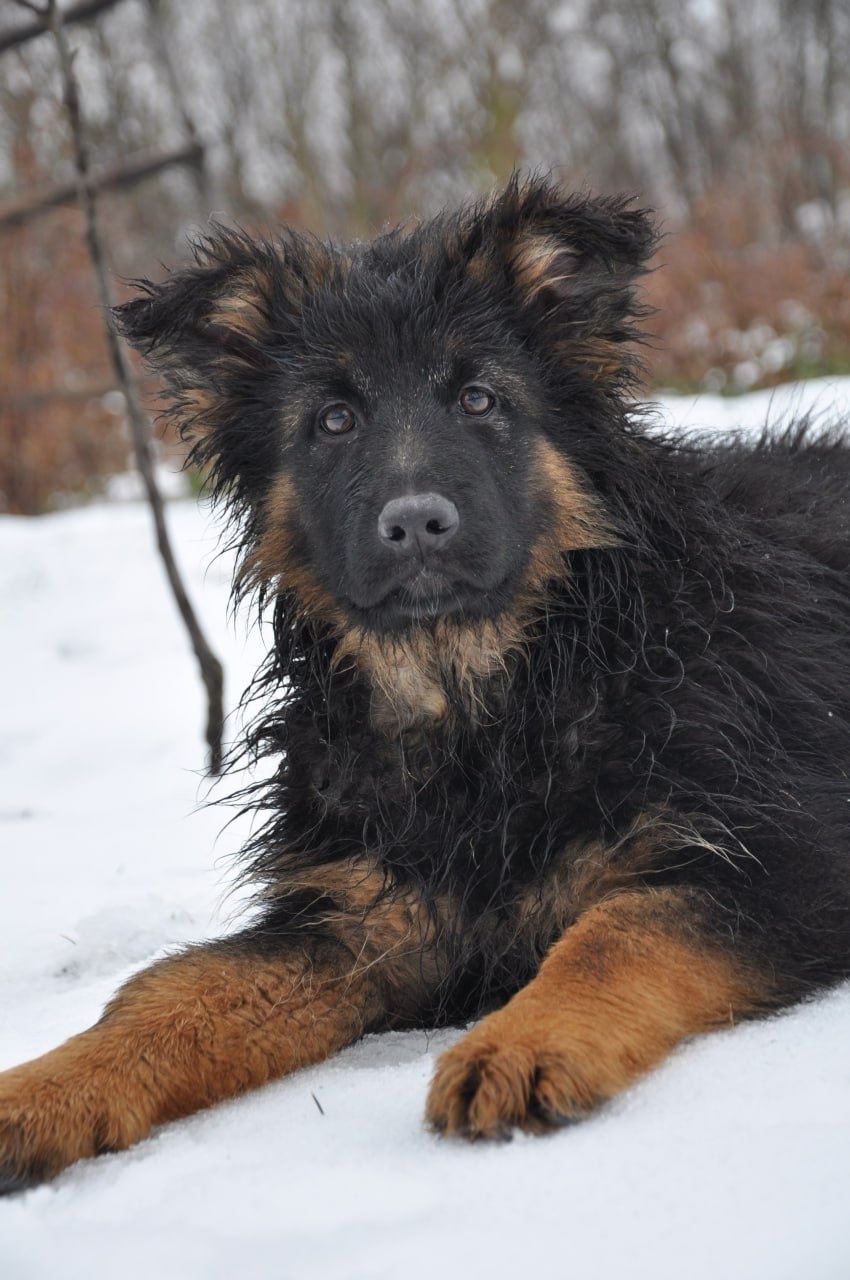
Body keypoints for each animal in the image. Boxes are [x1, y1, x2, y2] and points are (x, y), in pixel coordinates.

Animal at [1, 177, 850, 1187]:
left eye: (480, 398)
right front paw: (43, 1091)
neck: (492, 692)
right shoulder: (357, 918)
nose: (415, 525)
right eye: (333, 421)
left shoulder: (787, 852)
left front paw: (520, 1045)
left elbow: (620, 929)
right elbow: (174, 991)